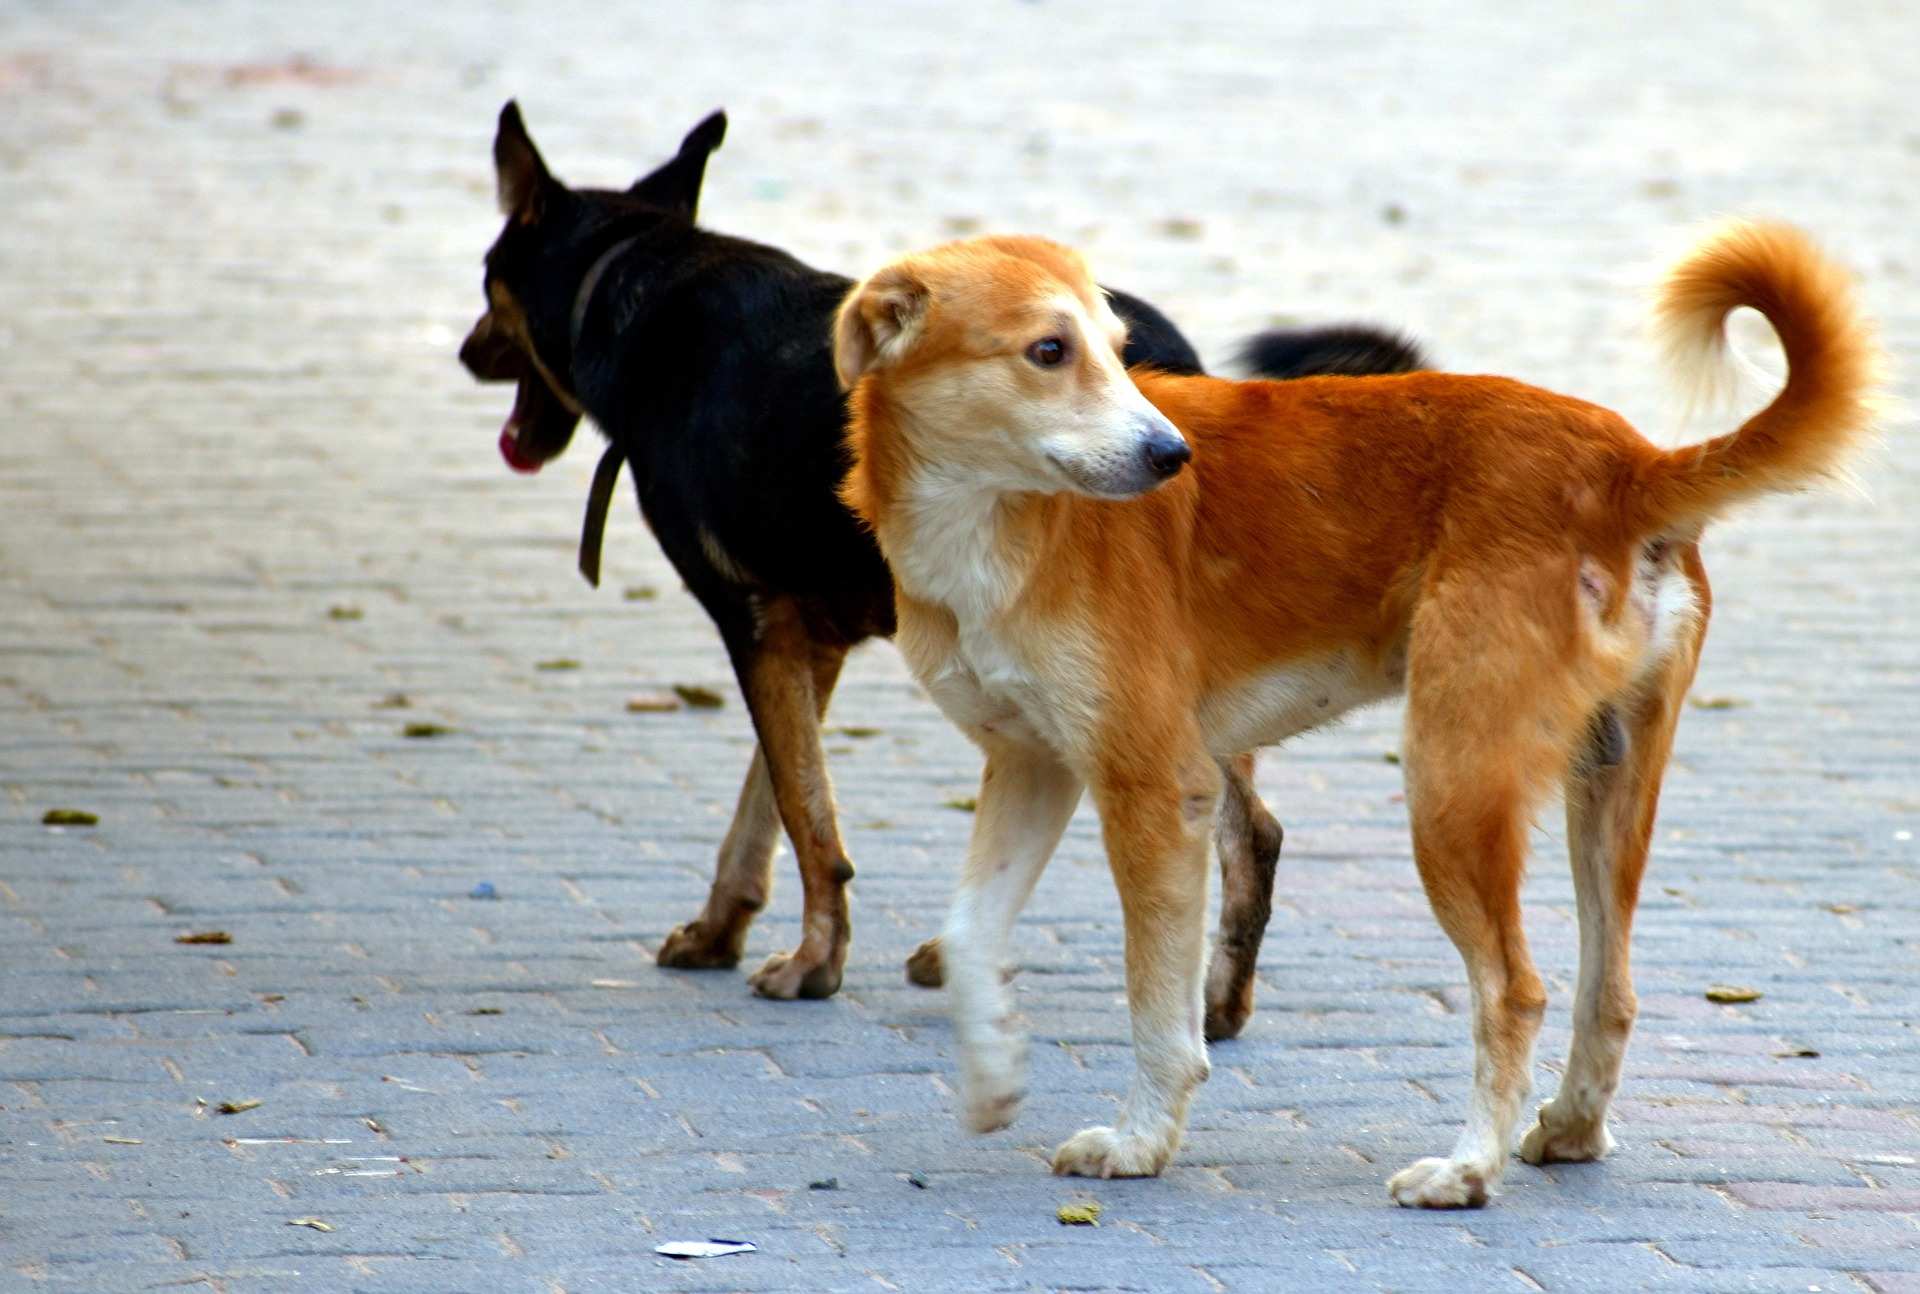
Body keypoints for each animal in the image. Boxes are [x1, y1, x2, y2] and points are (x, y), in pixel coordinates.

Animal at [460, 103, 1428, 1021]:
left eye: (486, 279)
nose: (468, 352)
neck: (635, 276)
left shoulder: (755, 620)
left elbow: (807, 814)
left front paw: (814, 962)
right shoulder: (811, 641)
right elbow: (766, 802)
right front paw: (722, 926)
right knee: (1244, 829)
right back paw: (1212, 1002)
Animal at [837, 221, 1873, 1198]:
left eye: (1119, 348)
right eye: (1049, 351)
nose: (1172, 456)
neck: (998, 523)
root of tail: (1627, 463)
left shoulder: (1155, 790)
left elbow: (1158, 1011)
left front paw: (1140, 1143)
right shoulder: (1034, 766)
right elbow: (969, 935)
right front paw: (993, 1077)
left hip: (1451, 788)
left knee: (1516, 990)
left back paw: (1468, 1169)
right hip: (1608, 785)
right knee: (1607, 992)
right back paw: (1571, 1130)